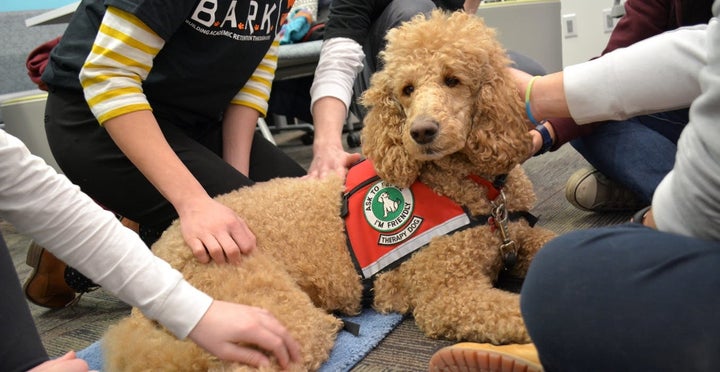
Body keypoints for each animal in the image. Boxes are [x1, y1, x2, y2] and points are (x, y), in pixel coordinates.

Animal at [104, 10, 556, 370]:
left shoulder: (520, 237)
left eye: (453, 80)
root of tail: (163, 244)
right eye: (407, 89)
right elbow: (520, 310)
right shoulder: (447, 295)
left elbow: (550, 244)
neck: (472, 187)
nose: (421, 132)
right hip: (270, 314)